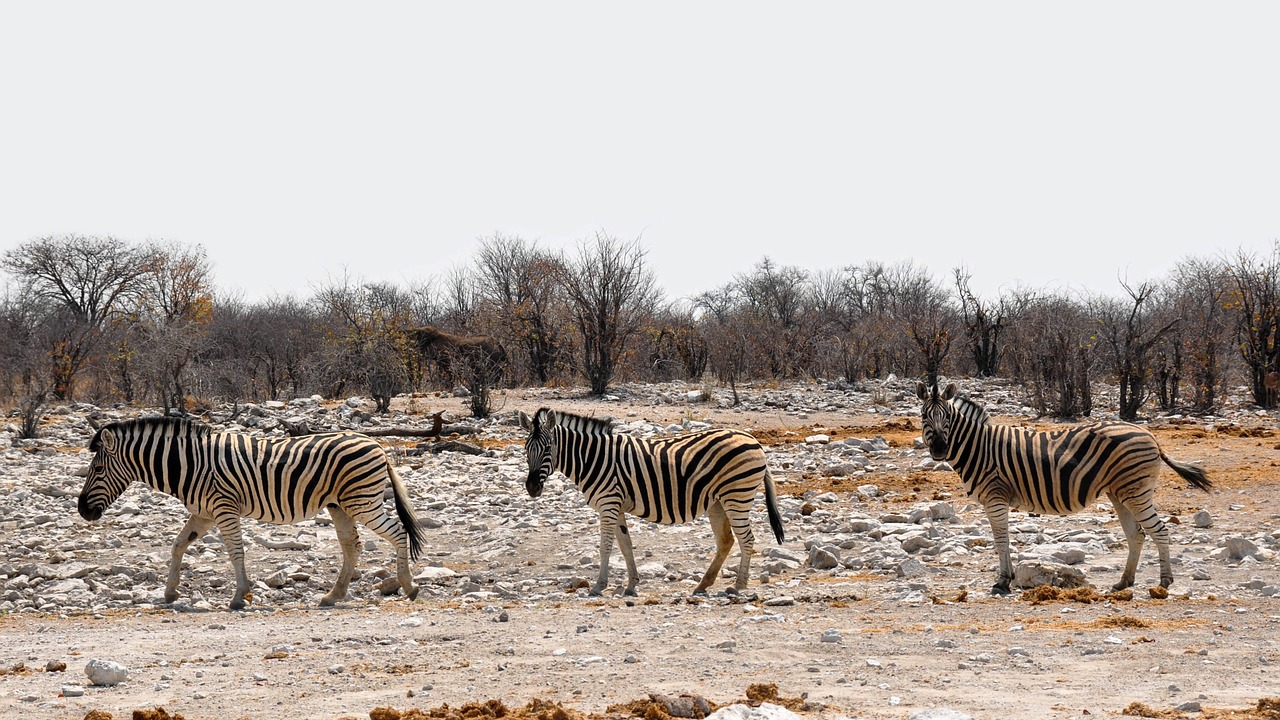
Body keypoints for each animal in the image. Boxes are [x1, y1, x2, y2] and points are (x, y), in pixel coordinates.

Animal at [76, 415, 424, 604]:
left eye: (97, 470)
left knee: (397, 533)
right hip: (340, 505)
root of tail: (376, 444)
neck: (189, 464)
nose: (82, 512)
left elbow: (235, 551)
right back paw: (333, 596)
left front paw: (239, 595)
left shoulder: (224, 507)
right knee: (352, 545)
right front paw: (170, 592)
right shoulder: (204, 512)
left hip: (362, 500)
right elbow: (178, 545)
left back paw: (409, 586)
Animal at [517, 407, 778, 591]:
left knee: (747, 539)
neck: (592, 458)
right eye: (526, 449)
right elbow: (625, 546)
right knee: (726, 541)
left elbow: (605, 546)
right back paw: (703, 584)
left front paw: (599, 585)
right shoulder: (616, 506)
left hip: (737, 497)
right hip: (717, 501)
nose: (531, 488)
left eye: (548, 448)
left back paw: (738, 585)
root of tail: (753, 440)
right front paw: (632, 583)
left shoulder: (608, 504)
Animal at [921, 379, 1208, 591]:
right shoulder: (996, 501)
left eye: (947, 418)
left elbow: (1000, 539)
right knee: (1136, 534)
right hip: (1120, 492)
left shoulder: (995, 497)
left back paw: (1164, 582)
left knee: (1159, 530)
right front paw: (1009, 575)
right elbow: (1004, 538)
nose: (939, 449)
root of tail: (1150, 434)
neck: (979, 448)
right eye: (924, 416)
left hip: (1135, 490)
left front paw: (1003, 581)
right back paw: (1124, 582)